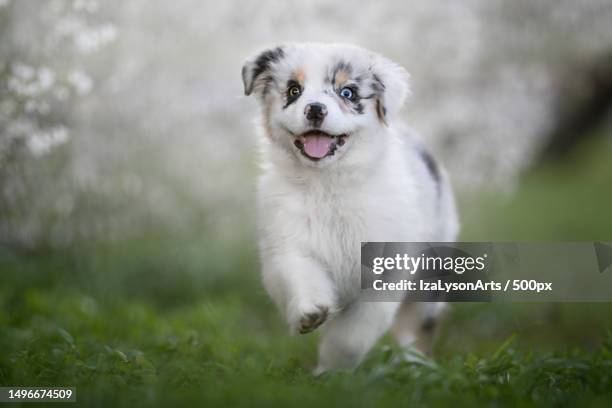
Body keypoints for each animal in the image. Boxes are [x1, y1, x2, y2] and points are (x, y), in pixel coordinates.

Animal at [241, 42, 456, 372]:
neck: (328, 184)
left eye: (348, 92)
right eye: (293, 90)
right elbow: (300, 276)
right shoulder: (288, 245)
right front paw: (311, 313)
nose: (315, 109)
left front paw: (332, 371)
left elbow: (351, 335)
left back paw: (416, 366)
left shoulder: (385, 271)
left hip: (430, 274)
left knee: (417, 327)